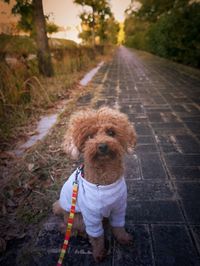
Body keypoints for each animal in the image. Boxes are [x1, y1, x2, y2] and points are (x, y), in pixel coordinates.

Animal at [53, 106, 136, 262]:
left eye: (111, 132)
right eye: (89, 136)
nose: (102, 146)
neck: (104, 183)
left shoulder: (119, 207)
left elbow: (119, 226)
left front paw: (124, 238)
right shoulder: (91, 215)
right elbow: (97, 237)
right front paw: (99, 253)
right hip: (78, 218)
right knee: (73, 229)